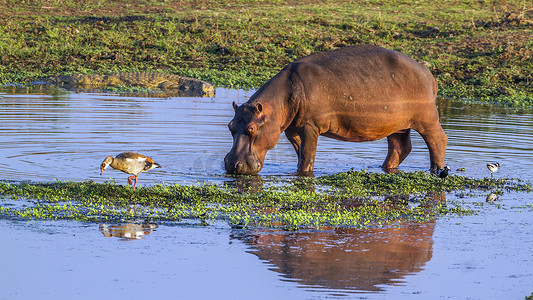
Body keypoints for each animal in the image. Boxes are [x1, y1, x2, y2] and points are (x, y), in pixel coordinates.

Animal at [222, 44, 446, 176]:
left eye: (251, 129)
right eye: (230, 126)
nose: (231, 165)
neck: (278, 103)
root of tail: (429, 74)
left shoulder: (310, 126)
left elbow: (308, 154)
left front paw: (306, 173)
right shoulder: (292, 129)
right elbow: (300, 153)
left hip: (427, 119)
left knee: (438, 140)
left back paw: (437, 169)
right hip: (396, 125)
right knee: (400, 147)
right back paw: (385, 168)